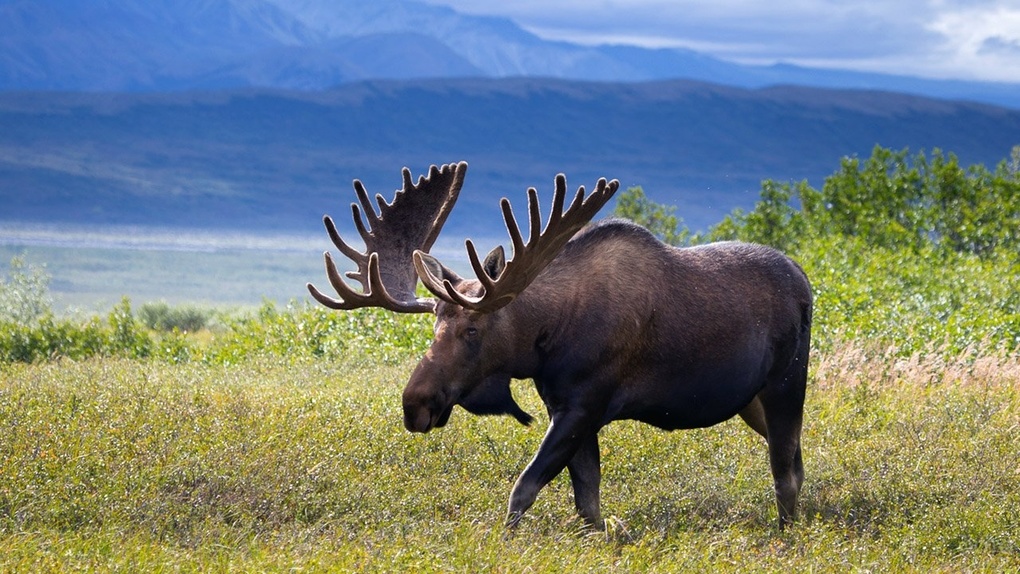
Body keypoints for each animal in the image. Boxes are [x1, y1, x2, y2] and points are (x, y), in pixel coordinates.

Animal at [303, 162, 811, 530]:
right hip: (750, 403)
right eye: (434, 328)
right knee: (797, 462)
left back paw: (786, 534)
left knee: (784, 472)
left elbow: (524, 488)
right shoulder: (562, 406)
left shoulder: (584, 405)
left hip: (786, 384)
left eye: (473, 331)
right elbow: (587, 500)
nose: (415, 403)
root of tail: (806, 282)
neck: (542, 342)